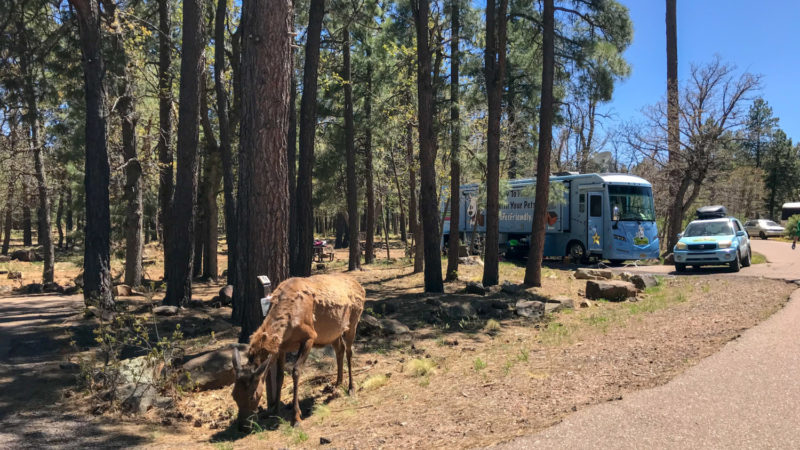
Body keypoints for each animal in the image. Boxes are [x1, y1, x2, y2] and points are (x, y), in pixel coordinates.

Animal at [231, 272, 366, 428]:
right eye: (234, 395)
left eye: (253, 396)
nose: (242, 426)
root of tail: (361, 286)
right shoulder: (281, 348)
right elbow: (279, 377)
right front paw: (274, 410)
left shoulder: (310, 337)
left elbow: (296, 371)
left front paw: (296, 417)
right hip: (333, 332)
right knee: (340, 349)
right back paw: (337, 383)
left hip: (354, 321)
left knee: (349, 351)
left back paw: (351, 388)